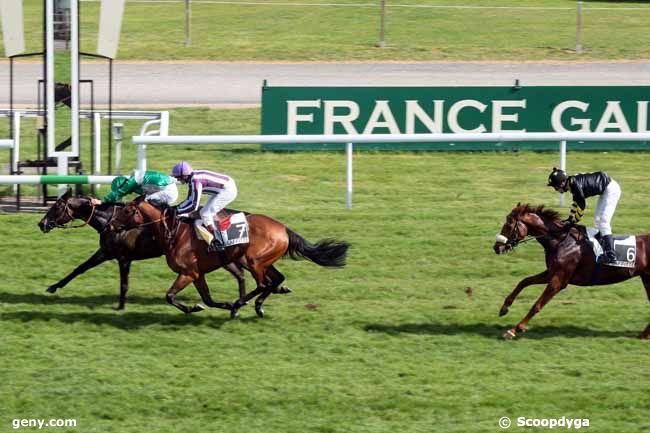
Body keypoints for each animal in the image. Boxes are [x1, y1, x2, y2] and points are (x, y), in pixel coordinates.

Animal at [38, 191, 248, 308]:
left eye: (56, 207)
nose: (41, 224)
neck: (109, 222)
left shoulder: (123, 258)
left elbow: (124, 283)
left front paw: (121, 306)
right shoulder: (106, 252)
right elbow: (80, 268)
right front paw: (53, 287)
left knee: (241, 274)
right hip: (222, 258)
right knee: (240, 275)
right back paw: (240, 302)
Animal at [110, 200, 350, 318]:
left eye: (128, 210)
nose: (111, 225)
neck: (175, 233)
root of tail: (283, 229)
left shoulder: (188, 273)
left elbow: (169, 296)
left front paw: (210, 307)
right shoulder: (197, 274)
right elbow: (207, 299)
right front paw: (205, 306)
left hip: (254, 261)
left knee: (264, 284)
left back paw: (240, 305)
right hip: (262, 261)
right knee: (276, 279)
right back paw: (258, 304)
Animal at [494, 204, 644, 340]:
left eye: (509, 225)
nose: (496, 247)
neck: (560, 241)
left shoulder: (559, 281)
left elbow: (537, 305)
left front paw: (514, 330)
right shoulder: (551, 273)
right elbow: (524, 281)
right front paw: (504, 307)